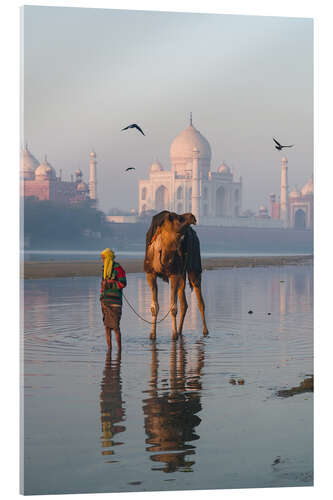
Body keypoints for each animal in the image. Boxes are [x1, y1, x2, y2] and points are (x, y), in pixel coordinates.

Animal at [143, 211, 208, 340]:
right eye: (178, 218)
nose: (193, 217)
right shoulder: (151, 273)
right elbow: (154, 307)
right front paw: (152, 335)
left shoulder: (174, 273)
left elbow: (173, 307)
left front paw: (173, 335)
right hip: (181, 273)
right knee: (184, 303)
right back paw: (180, 331)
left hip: (193, 266)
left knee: (199, 299)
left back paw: (205, 332)